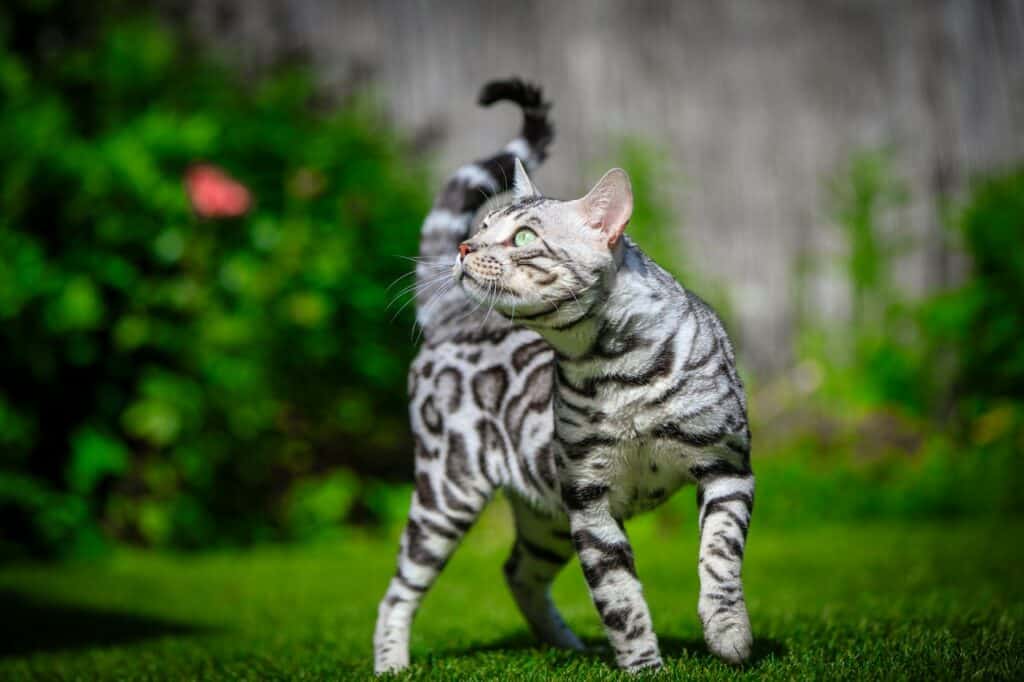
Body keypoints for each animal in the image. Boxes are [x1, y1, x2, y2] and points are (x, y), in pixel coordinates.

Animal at [376, 76, 753, 671]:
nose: (463, 246)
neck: (620, 369)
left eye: (525, 238)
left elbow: (719, 557)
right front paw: (644, 669)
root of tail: (452, 318)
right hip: (448, 492)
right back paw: (390, 664)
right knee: (399, 590)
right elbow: (620, 600)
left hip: (543, 516)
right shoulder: (588, 500)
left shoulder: (727, 467)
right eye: (484, 226)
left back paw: (566, 645)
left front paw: (728, 633)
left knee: (516, 572)